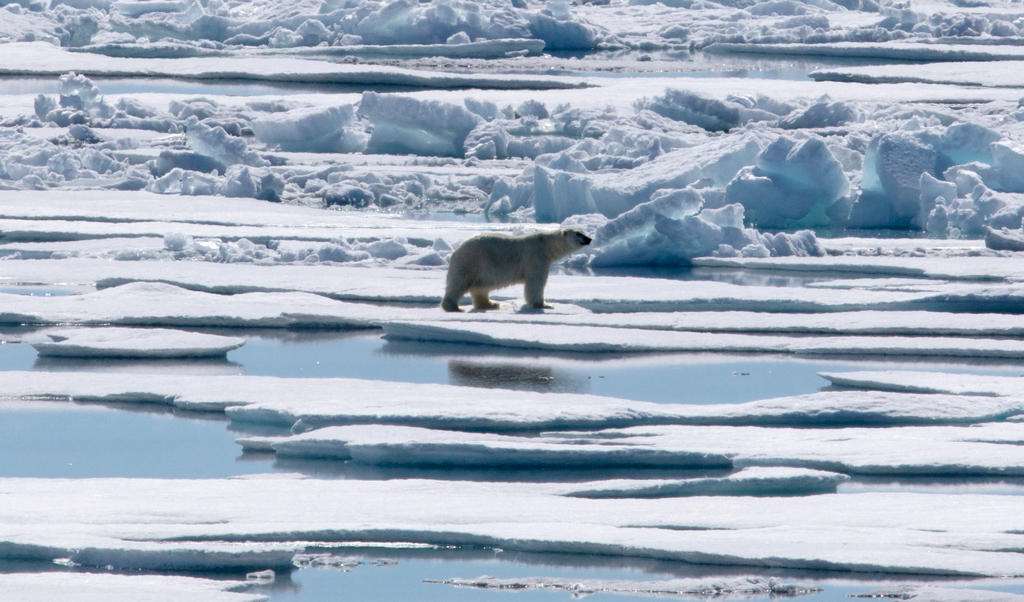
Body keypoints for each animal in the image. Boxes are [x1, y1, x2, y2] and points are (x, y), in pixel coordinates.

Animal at [441, 228, 592, 312]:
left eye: (583, 232)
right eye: (578, 234)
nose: (589, 239)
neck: (545, 244)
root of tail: (457, 250)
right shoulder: (535, 257)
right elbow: (536, 282)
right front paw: (543, 305)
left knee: (480, 287)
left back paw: (491, 304)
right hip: (471, 261)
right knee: (459, 283)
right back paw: (453, 307)